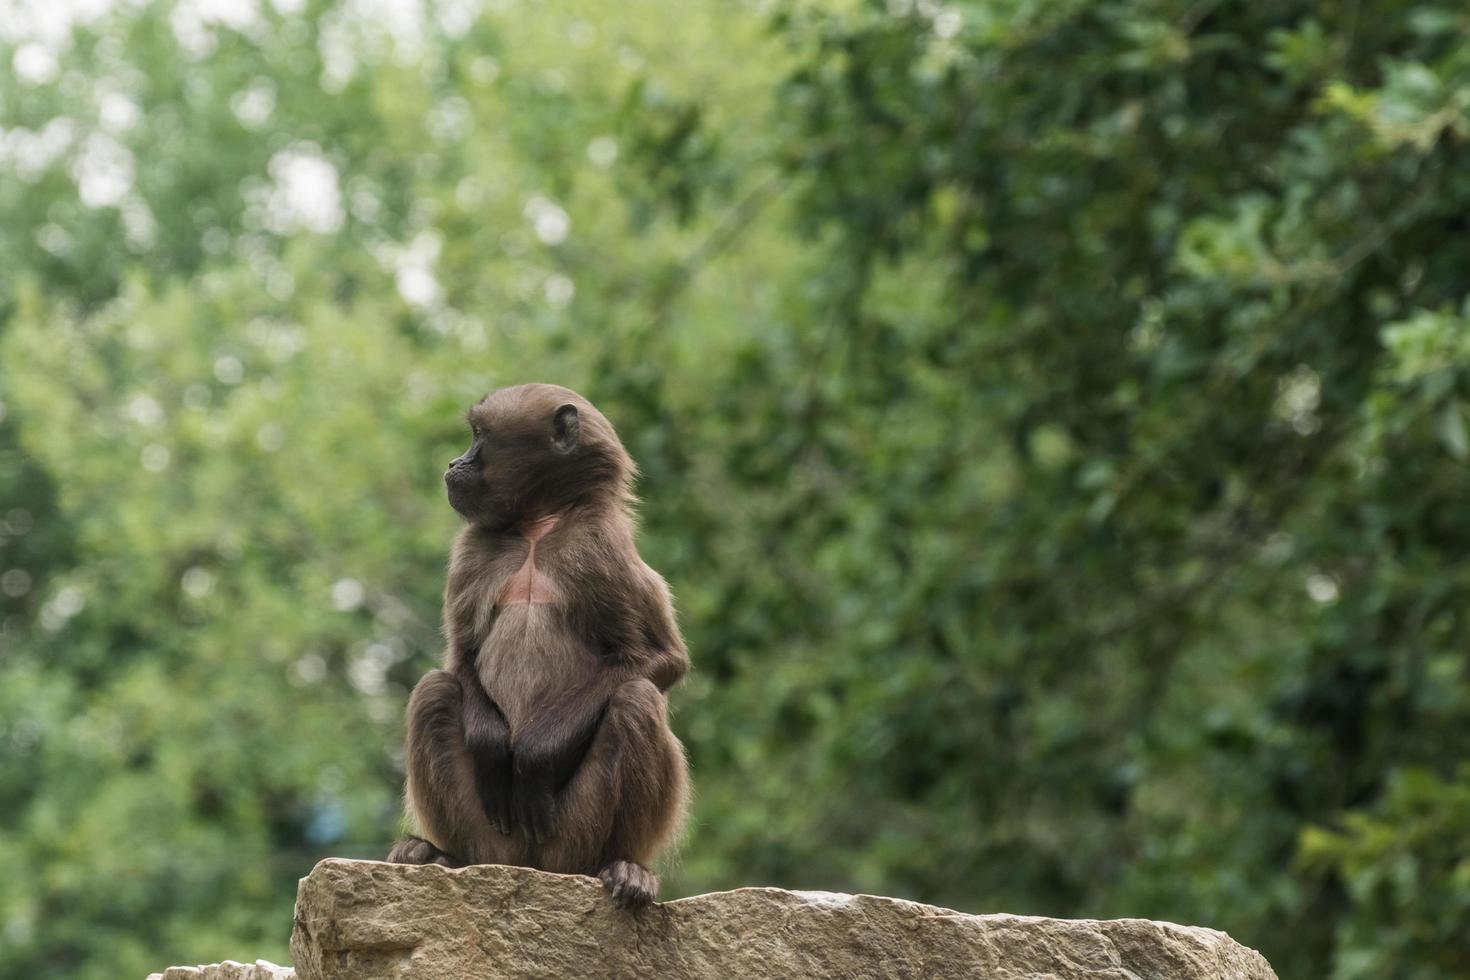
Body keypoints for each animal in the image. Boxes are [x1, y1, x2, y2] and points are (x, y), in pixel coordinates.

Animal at [388, 384, 690, 910]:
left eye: (479, 436)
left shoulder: (602, 548)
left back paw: (626, 868)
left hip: (571, 834)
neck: (537, 529)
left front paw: (534, 757)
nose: (453, 463)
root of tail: (529, 865)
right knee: (434, 691)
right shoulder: (473, 549)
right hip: (491, 832)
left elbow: (660, 659)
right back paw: (439, 855)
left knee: (635, 699)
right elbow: (460, 658)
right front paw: (493, 744)